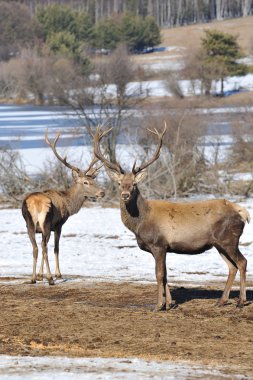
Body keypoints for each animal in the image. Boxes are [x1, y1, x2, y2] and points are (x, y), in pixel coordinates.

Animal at [22, 129, 105, 284]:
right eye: (85, 182)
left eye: (93, 180)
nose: (102, 192)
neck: (68, 204)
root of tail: (36, 203)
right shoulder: (58, 225)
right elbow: (56, 248)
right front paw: (58, 274)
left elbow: (44, 246)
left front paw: (40, 275)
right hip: (46, 223)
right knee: (44, 248)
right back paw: (50, 279)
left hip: (29, 224)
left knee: (36, 247)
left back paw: (33, 278)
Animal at [94, 126, 250, 310]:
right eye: (119, 183)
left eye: (134, 184)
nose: (125, 195)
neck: (140, 223)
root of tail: (242, 212)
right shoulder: (164, 248)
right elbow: (166, 274)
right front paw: (169, 303)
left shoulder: (158, 244)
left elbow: (159, 274)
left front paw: (158, 305)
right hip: (219, 244)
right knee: (232, 267)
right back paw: (222, 300)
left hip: (229, 239)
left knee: (242, 262)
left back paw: (241, 301)